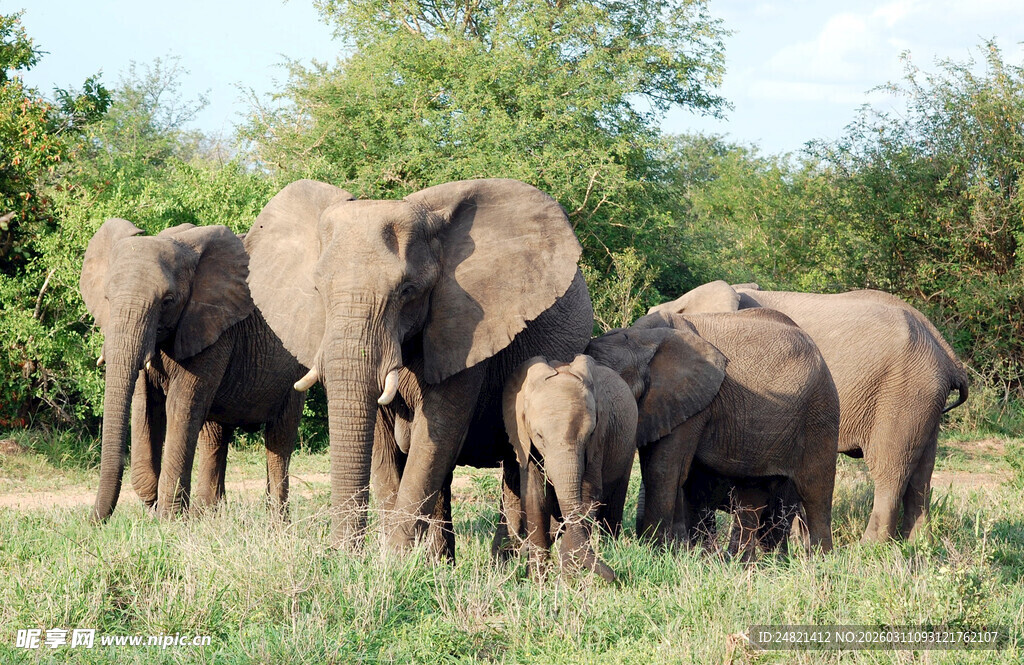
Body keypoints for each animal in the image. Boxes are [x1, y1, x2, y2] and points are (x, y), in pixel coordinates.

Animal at [80, 219, 308, 520]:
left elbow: (181, 406)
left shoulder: (212, 327)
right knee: (214, 435)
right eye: (107, 297)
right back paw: (208, 514)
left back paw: (276, 522)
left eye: (168, 300)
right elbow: (144, 404)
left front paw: (167, 517)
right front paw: (154, 499)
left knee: (279, 437)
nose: (94, 522)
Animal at [243, 178, 594, 555]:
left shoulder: (466, 325)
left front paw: (393, 558)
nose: (337, 553)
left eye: (407, 291)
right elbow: (383, 443)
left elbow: (436, 431)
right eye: (318, 289)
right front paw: (388, 559)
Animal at [501, 354, 638, 582]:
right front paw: (537, 583)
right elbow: (535, 498)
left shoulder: (598, 440)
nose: (616, 576)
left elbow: (588, 496)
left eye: (589, 434)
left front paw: (567, 582)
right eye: (539, 436)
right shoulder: (524, 440)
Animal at [587, 308, 840, 552]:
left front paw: (653, 551)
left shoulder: (693, 402)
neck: (640, 339)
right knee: (755, 493)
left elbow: (663, 470)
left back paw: (821, 559)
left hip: (820, 412)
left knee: (815, 492)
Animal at [650, 281, 969, 541]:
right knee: (920, 477)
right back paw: (914, 548)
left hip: (903, 394)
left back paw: (869, 549)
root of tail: (946, 352)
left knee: (891, 471)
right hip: (923, 399)